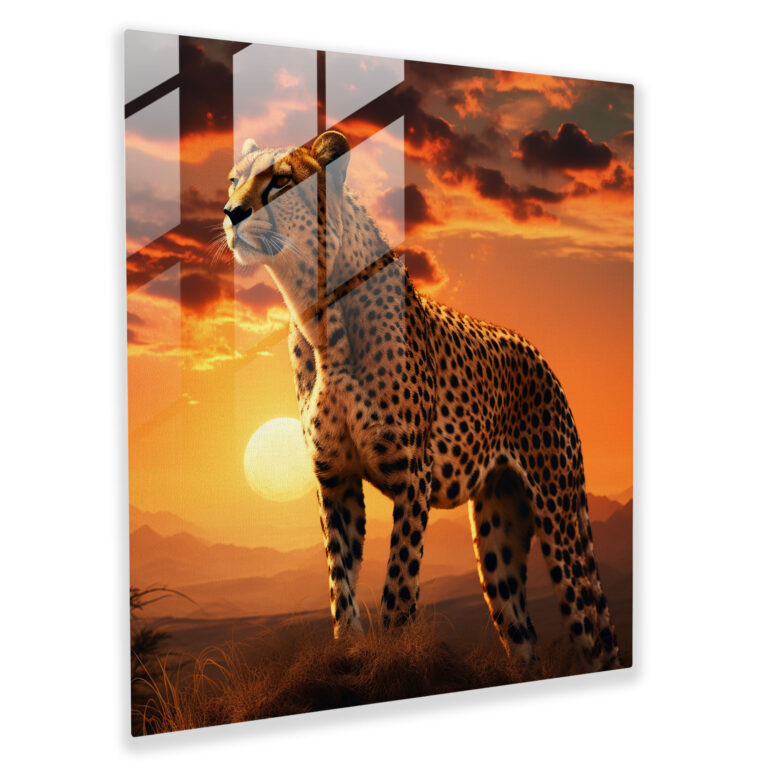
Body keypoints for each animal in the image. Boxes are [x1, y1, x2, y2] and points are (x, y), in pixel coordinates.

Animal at [221, 130, 621, 671]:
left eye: (281, 181)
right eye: (234, 180)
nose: (231, 212)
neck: (320, 314)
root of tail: (541, 356)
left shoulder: (413, 475)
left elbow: (399, 581)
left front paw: (392, 650)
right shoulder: (335, 477)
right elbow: (340, 579)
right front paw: (348, 647)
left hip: (559, 521)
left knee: (592, 629)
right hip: (498, 532)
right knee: (522, 632)